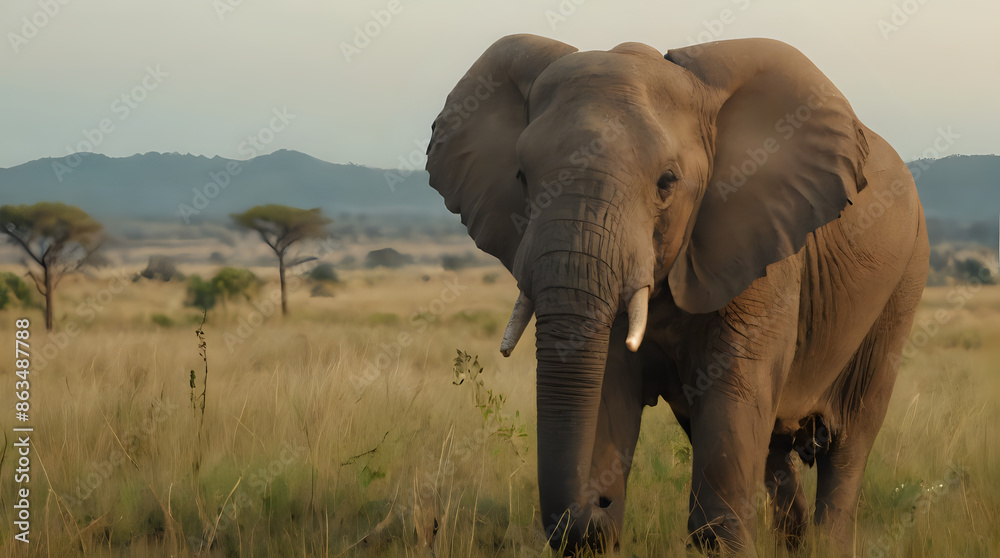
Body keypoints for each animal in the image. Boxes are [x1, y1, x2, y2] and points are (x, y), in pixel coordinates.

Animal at [424, 34, 929, 554]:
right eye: (522, 178)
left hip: (905, 279)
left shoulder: (760, 254)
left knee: (849, 439)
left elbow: (732, 393)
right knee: (773, 449)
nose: (599, 503)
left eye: (667, 182)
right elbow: (609, 388)